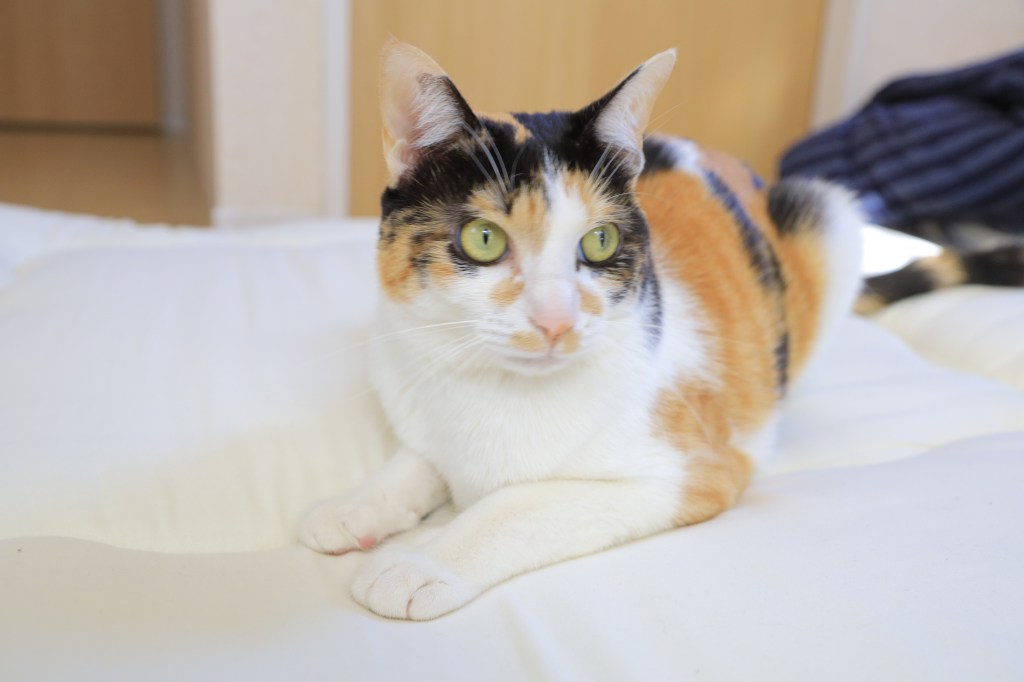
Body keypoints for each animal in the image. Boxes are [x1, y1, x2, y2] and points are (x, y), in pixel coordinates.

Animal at [300, 40, 862, 620]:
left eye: (600, 241)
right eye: (484, 238)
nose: (557, 319)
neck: (497, 392)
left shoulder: (690, 471)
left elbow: (515, 504)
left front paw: (415, 564)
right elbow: (417, 459)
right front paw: (352, 507)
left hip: (829, 216)